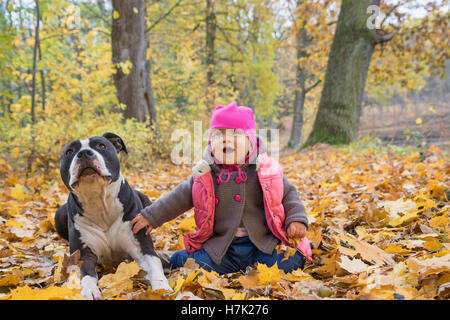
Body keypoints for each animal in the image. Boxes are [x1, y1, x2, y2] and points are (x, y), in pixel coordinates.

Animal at [55, 132, 171, 300]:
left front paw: (160, 287)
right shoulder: (83, 254)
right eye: (69, 152)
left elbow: (154, 263)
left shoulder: (142, 246)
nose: (84, 153)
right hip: (58, 215)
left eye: (101, 146)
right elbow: (85, 274)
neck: (99, 203)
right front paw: (89, 290)